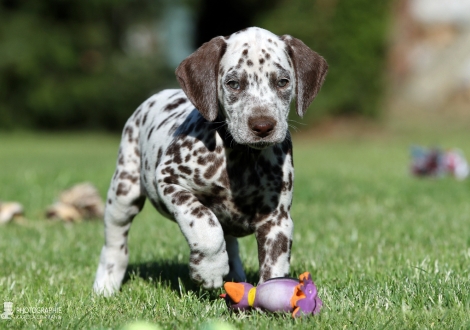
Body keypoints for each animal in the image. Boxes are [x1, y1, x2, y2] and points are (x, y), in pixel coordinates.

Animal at [92, 26, 326, 296]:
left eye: (283, 82)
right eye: (233, 84)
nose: (263, 126)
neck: (240, 159)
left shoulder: (277, 220)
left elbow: (273, 267)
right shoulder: (170, 181)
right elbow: (206, 226)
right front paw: (209, 270)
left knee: (231, 245)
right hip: (123, 192)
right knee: (115, 241)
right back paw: (106, 284)